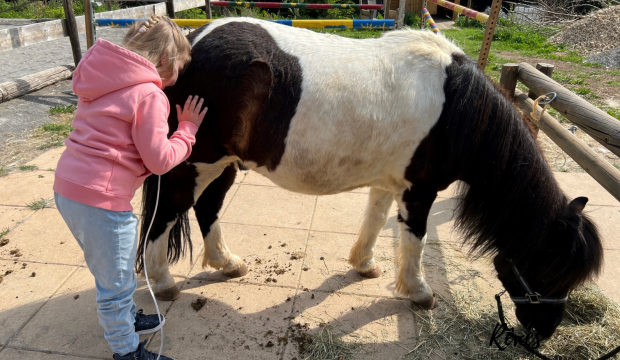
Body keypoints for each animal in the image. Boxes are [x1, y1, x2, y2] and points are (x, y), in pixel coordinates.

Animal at [138, 18, 604, 338]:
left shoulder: (388, 182)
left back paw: (227, 263)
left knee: (207, 209)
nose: (545, 331)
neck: (458, 108)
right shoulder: (419, 191)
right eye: (553, 270)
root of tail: (191, 41)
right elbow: (414, 241)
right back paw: (163, 282)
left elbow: (376, 221)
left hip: (225, 163)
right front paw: (419, 292)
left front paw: (363, 264)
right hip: (198, 162)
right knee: (166, 214)